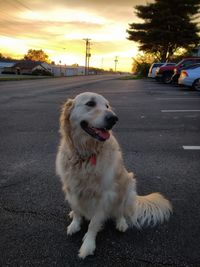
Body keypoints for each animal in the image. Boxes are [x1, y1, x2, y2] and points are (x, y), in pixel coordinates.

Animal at [55, 92, 172, 260]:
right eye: (90, 103)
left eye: (107, 106)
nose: (114, 118)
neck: (86, 155)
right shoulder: (70, 188)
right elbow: (76, 209)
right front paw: (75, 224)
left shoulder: (104, 195)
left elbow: (94, 223)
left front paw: (88, 245)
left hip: (128, 184)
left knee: (120, 211)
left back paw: (121, 223)